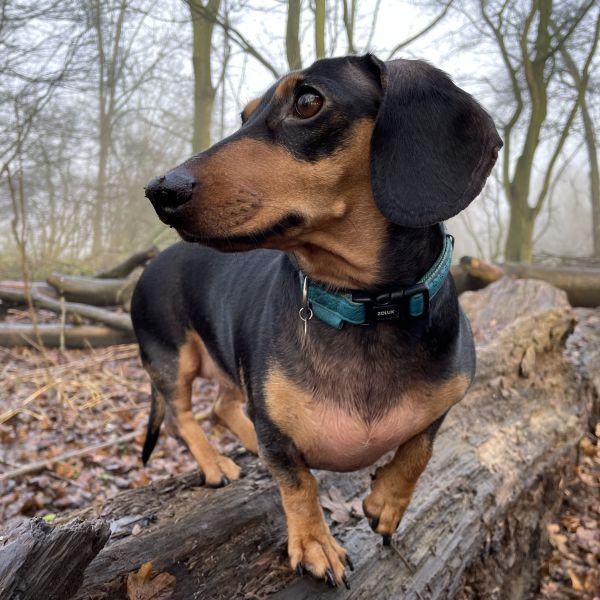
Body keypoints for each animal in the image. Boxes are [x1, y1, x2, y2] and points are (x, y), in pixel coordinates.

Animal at [131, 54, 502, 588]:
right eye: (244, 115)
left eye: (308, 102)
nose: (160, 191)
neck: (365, 307)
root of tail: (150, 263)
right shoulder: (279, 431)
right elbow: (299, 481)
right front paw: (314, 544)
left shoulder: (446, 400)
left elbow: (419, 449)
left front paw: (387, 504)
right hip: (172, 356)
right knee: (185, 416)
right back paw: (217, 462)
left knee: (224, 408)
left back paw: (249, 442)